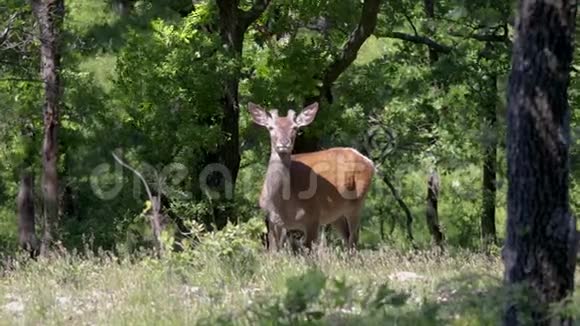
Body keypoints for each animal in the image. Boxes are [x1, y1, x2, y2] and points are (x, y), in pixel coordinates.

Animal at [248, 103, 376, 251]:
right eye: (270, 127)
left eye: (295, 127)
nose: (284, 143)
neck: (281, 203)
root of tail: (369, 161)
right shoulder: (271, 220)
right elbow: (274, 250)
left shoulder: (313, 216)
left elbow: (308, 250)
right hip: (336, 214)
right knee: (347, 237)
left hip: (357, 202)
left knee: (354, 239)